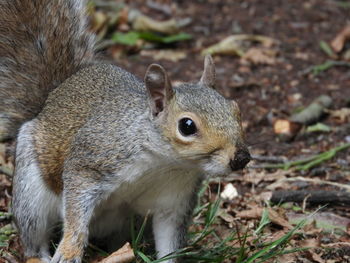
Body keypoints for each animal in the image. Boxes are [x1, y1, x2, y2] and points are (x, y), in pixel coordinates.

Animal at [0, 0, 252, 263]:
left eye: (236, 110)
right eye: (187, 126)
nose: (241, 158)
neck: (164, 163)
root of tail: (51, 97)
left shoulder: (174, 199)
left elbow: (170, 239)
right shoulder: (92, 161)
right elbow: (76, 212)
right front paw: (69, 251)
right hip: (31, 195)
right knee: (33, 237)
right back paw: (41, 255)